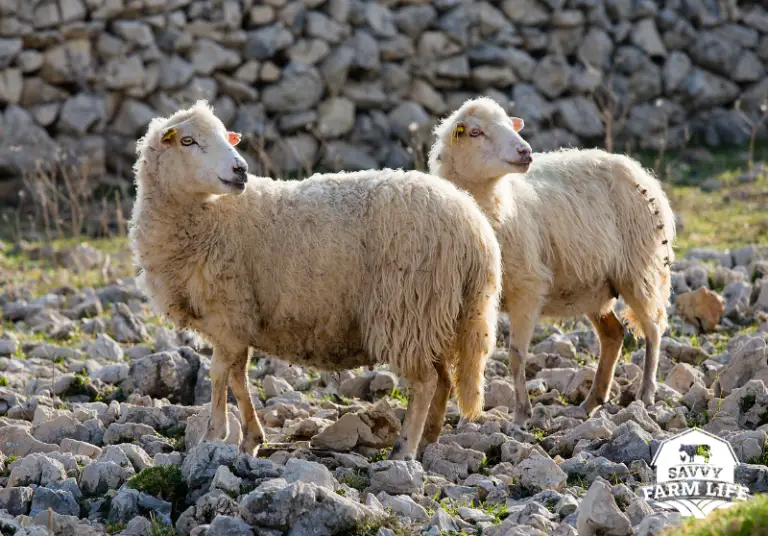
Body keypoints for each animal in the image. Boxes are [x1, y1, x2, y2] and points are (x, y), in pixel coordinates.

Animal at [129, 100, 503, 460]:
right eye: (188, 141)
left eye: (225, 136)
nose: (240, 170)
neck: (210, 215)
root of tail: (475, 228)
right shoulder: (238, 320)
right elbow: (238, 378)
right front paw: (250, 439)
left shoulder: (227, 313)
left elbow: (220, 375)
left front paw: (213, 434)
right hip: (436, 313)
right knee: (442, 380)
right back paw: (429, 440)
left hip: (407, 308)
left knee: (425, 382)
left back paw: (405, 448)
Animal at [428, 97, 676, 424]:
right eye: (476, 132)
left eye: (510, 124)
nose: (525, 151)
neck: (500, 203)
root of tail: (638, 169)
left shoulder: (528, 288)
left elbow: (516, 356)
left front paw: (522, 414)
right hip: (597, 286)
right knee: (614, 334)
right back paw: (591, 401)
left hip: (640, 271)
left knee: (653, 330)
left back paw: (646, 393)